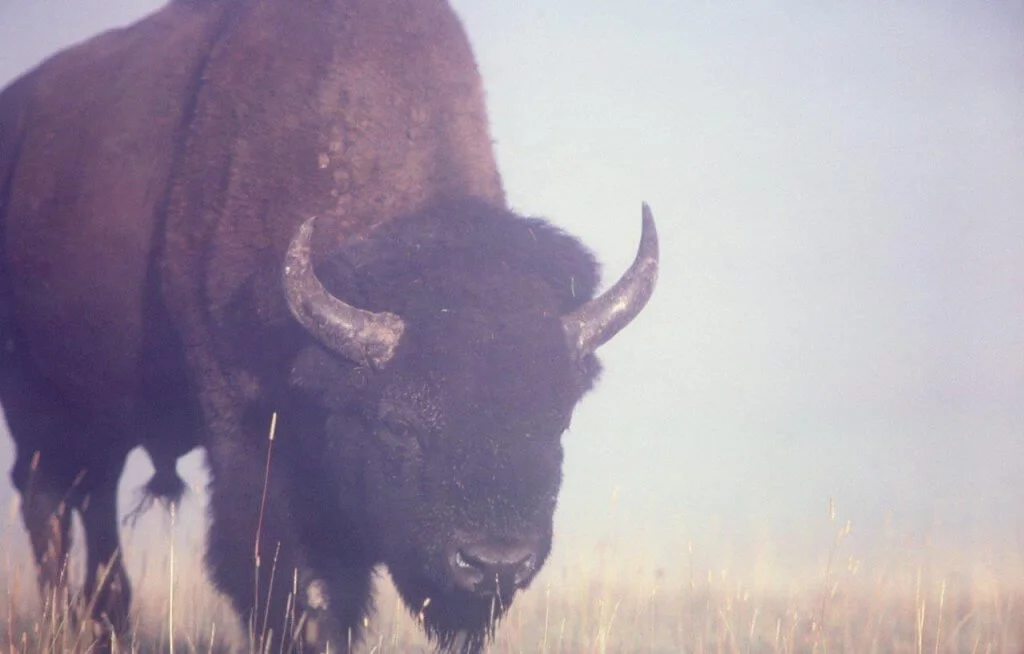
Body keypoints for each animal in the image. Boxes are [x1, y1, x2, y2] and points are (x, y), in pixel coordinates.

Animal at [0, 0, 659, 652]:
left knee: (93, 498)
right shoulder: (248, 435)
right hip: (38, 409)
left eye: (557, 420)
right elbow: (292, 584)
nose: (494, 563)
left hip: (98, 419)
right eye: (399, 425)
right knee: (47, 501)